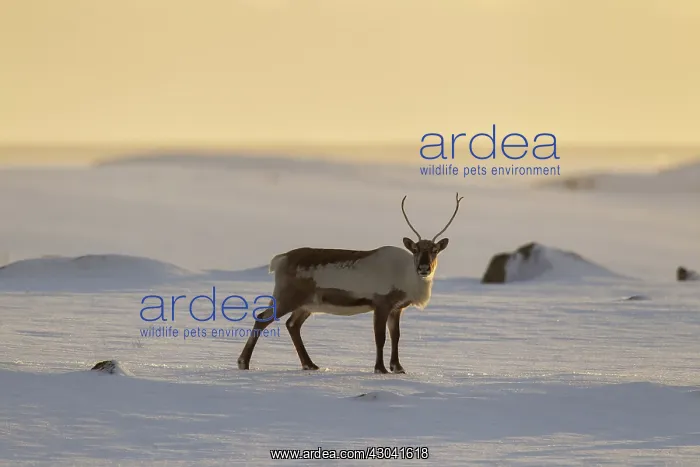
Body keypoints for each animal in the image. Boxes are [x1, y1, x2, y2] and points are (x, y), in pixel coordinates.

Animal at [236, 192, 463, 374]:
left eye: (435, 250)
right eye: (415, 249)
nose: (424, 268)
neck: (406, 276)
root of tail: (280, 259)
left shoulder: (397, 308)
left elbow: (396, 336)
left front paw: (398, 368)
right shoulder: (381, 303)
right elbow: (380, 337)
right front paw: (380, 368)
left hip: (307, 304)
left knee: (292, 324)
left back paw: (310, 364)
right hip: (287, 296)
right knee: (262, 318)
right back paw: (243, 363)